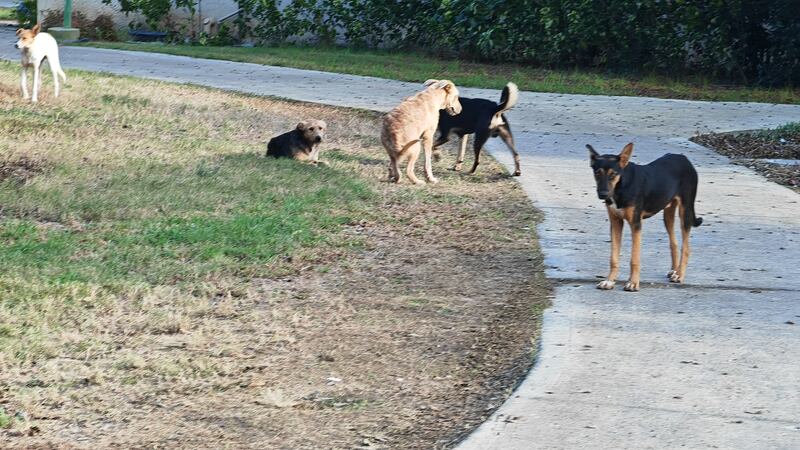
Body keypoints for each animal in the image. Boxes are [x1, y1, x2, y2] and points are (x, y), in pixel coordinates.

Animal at [588, 143, 700, 292]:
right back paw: (674, 270)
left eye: (613, 174)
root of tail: (684, 158)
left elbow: (634, 259)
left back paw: (680, 275)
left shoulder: (636, 224)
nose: (603, 194)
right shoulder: (616, 222)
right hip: (668, 213)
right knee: (674, 243)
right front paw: (609, 281)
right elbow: (613, 257)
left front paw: (633, 283)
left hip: (685, 210)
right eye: (597, 173)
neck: (621, 186)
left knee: (686, 247)